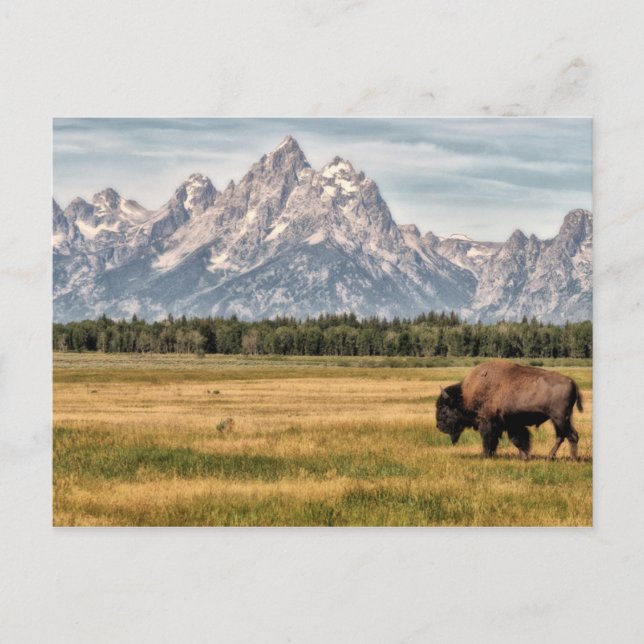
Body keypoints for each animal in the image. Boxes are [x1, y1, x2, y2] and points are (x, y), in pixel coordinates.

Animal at [435, 361, 583, 460]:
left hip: (560, 418)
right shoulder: (512, 424)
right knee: (562, 436)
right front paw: (524, 456)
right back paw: (549, 457)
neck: (465, 396)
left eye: (443, 409)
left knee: (571, 436)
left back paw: (573, 459)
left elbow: (489, 440)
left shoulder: (488, 423)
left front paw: (485, 455)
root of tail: (572, 382)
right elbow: (518, 440)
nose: (438, 426)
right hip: (559, 420)